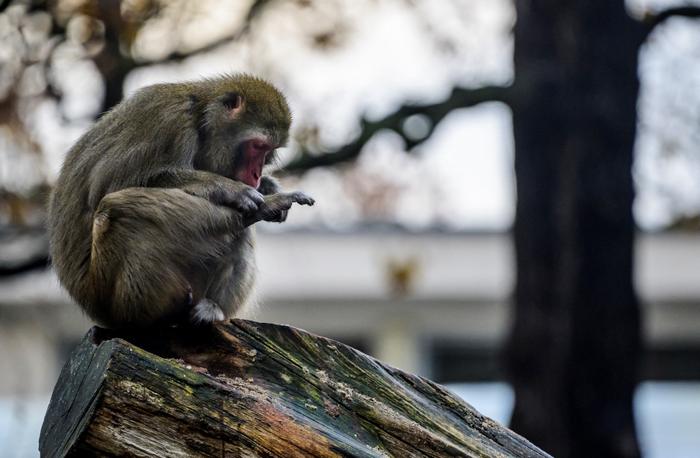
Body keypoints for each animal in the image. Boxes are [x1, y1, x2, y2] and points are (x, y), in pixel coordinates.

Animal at [47, 74, 314, 329]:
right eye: (257, 146)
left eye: (268, 151)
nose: (256, 175)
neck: (200, 121)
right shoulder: (167, 121)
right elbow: (107, 188)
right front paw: (231, 189)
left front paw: (267, 186)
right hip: (109, 293)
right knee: (118, 210)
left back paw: (213, 306)